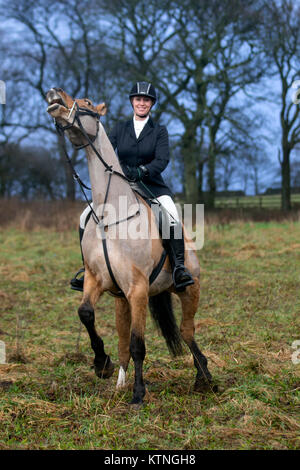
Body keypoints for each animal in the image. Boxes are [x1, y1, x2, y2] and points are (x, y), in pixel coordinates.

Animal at [45, 89, 212, 408]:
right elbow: (86, 314)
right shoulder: (97, 280)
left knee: (186, 331)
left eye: (86, 104)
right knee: (124, 339)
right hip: (120, 298)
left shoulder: (137, 289)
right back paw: (121, 381)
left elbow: (138, 344)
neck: (111, 214)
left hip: (190, 287)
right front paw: (102, 364)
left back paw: (204, 378)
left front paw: (138, 395)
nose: (53, 95)